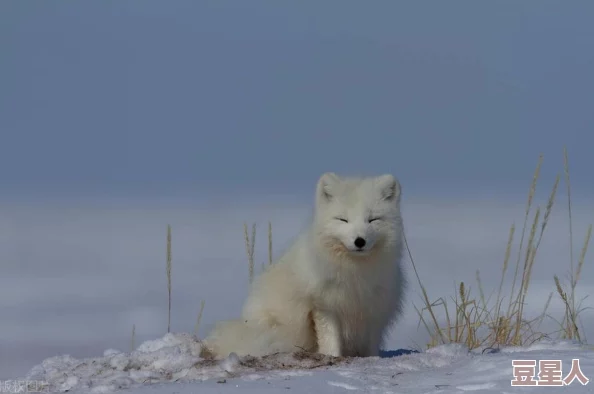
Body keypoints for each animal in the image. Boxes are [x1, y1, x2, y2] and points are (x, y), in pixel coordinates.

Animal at [201, 172, 404, 358]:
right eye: (343, 219)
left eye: (373, 219)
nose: (359, 241)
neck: (354, 273)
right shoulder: (323, 305)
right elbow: (331, 339)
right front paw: (333, 357)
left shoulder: (374, 307)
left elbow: (371, 344)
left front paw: (372, 358)